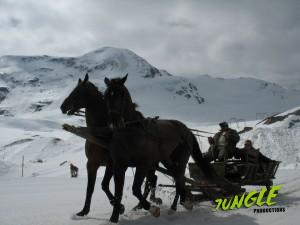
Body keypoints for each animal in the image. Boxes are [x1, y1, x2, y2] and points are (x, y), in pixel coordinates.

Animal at [59, 74, 161, 218]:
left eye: (77, 91)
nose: (63, 107)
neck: (101, 132)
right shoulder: (92, 163)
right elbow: (91, 188)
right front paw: (84, 211)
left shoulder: (111, 163)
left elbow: (104, 185)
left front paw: (120, 207)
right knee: (152, 179)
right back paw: (144, 203)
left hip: (149, 163)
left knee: (151, 179)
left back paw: (145, 203)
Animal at [104, 74, 212, 222]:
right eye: (106, 95)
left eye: (122, 93)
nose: (115, 121)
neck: (131, 132)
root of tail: (187, 130)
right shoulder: (119, 165)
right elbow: (117, 191)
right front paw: (115, 216)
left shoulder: (143, 165)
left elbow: (135, 189)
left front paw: (152, 209)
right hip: (167, 160)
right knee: (178, 178)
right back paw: (182, 202)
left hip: (181, 160)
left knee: (179, 178)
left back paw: (176, 206)